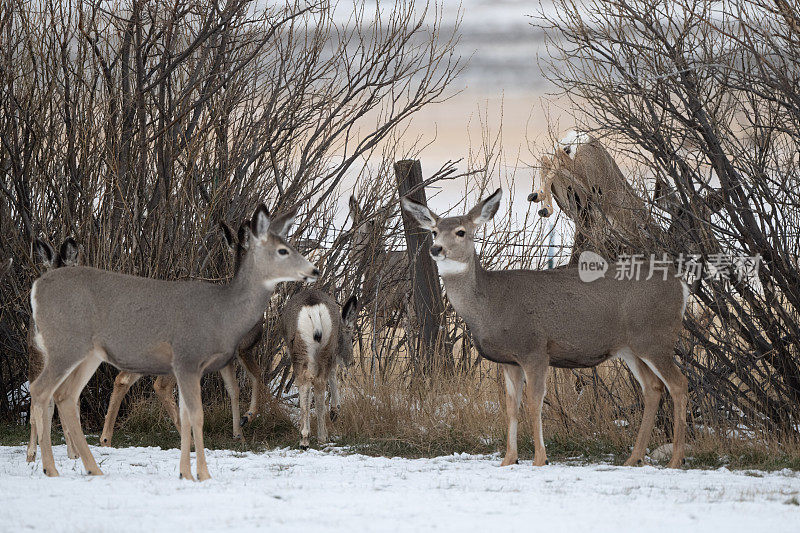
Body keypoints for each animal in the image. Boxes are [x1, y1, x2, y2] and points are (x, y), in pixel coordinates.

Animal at [98, 219, 264, 444]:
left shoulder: (227, 359)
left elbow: (234, 390)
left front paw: (239, 433)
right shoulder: (243, 348)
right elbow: (257, 377)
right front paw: (248, 417)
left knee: (123, 378)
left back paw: (105, 437)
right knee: (160, 386)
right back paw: (191, 438)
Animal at [282, 288, 356, 446]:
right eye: (352, 338)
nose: (351, 361)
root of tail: (314, 311)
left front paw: (334, 412)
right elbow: (332, 374)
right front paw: (334, 412)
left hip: (300, 348)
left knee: (310, 381)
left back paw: (313, 436)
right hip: (325, 345)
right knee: (316, 380)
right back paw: (313, 436)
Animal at [404, 188, 692, 470]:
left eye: (461, 231)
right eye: (434, 230)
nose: (436, 249)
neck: (489, 304)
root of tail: (681, 286)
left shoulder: (535, 349)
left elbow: (534, 402)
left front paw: (540, 458)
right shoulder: (509, 360)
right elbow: (511, 406)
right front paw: (508, 459)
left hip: (655, 337)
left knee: (678, 383)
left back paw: (676, 459)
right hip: (630, 348)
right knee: (653, 387)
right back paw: (634, 458)